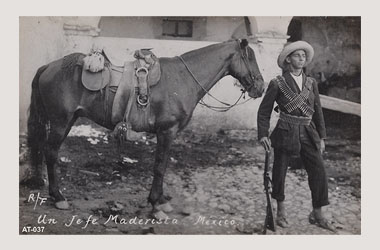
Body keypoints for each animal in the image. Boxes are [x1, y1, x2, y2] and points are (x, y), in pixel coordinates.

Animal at [25, 38, 266, 215]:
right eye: (250, 57)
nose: (261, 87)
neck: (182, 79)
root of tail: (48, 67)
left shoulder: (166, 133)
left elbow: (162, 165)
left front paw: (160, 200)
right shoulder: (167, 132)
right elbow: (160, 166)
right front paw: (156, 203)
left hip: (68, 120)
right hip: (60, 121)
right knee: (50, 153)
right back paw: (58, 197)